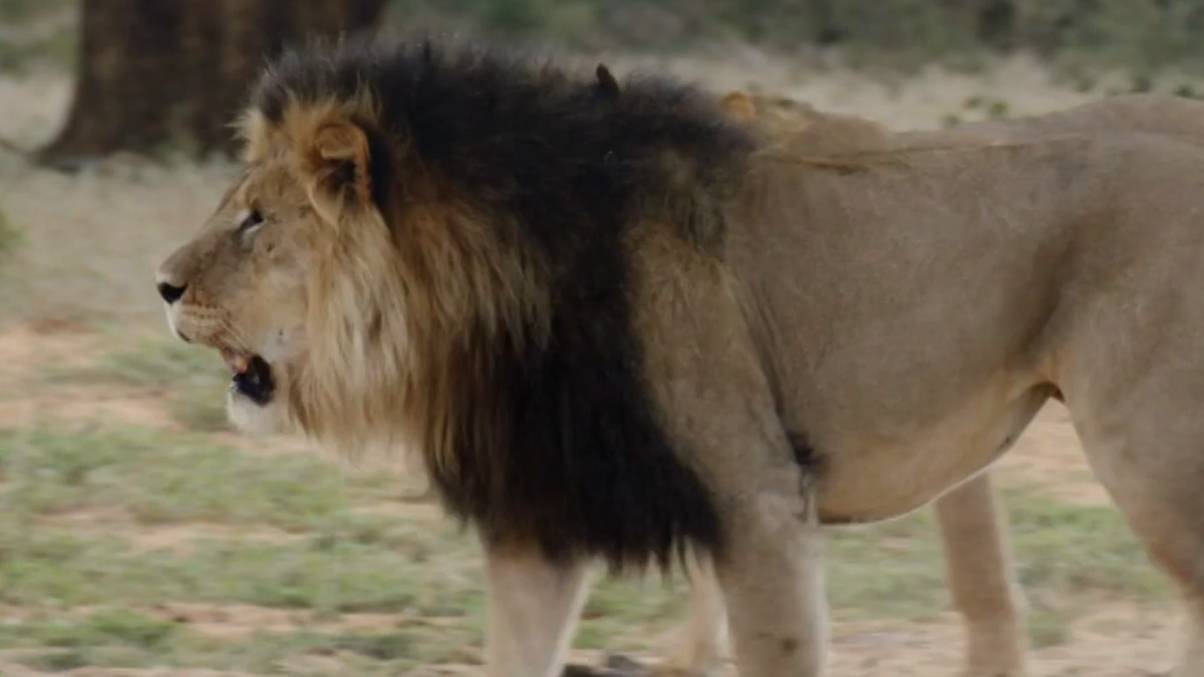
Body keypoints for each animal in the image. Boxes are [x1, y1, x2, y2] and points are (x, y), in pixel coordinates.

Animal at [158, 40, 1204, 677]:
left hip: (1151, 454)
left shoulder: (759, 501)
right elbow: (516, 655)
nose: (162, 285)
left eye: (256, 221)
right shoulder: (541, 520)